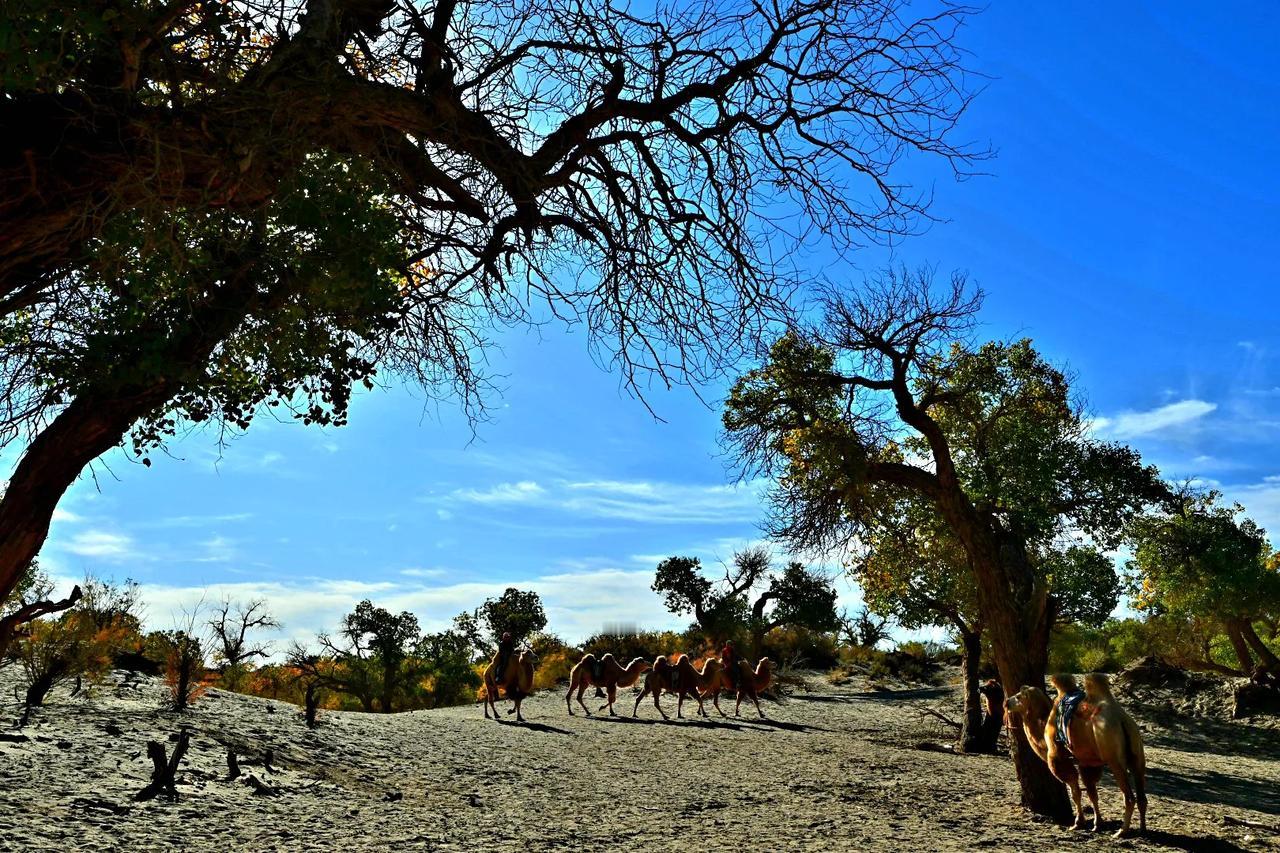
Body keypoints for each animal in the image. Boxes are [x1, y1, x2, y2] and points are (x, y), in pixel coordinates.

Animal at [1008, 671, 1152, 829]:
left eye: (1018, 696)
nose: (1007, 702)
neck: (1045, 722)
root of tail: (1122, 720)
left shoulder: (1058, 756)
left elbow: (1075, 791)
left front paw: (1078, 822)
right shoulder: (1087, 761)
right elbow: (1092, 792)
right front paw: (1097, 823)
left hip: (1113, 756)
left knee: (1129, 796)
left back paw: (1121, 831)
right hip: (1137, 749)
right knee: (1141, 795)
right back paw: (1142, 828)